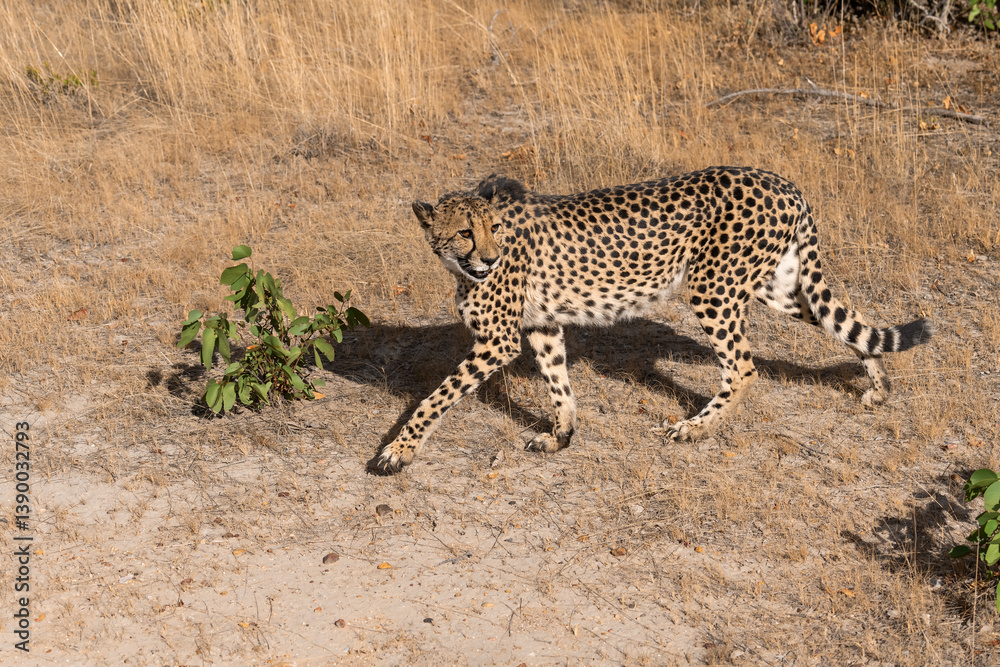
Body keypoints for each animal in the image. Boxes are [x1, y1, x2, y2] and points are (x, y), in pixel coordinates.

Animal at [370, 166, 933, 474]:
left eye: (491, 230)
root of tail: (781, 180)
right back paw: (878, 387)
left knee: (743, 367)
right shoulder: (541, 326)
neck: (460, 266)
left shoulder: (497, 341)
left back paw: (694, 429)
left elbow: (435, 398)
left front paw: (397, 452)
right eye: (465, 231)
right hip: (777, 286)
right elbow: (559, 383)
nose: (488, 258)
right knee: (847, 323)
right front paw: (561, 435)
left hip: (712, 288)